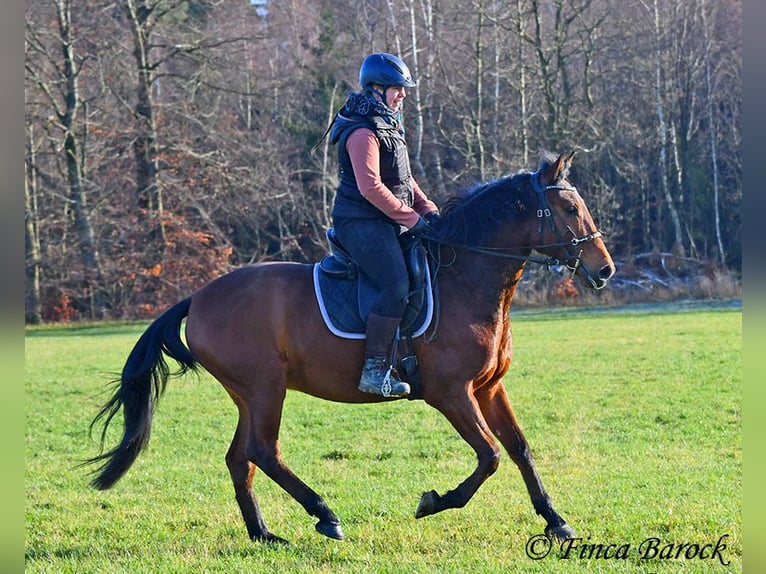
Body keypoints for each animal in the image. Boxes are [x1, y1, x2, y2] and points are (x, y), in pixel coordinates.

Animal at [85, 151, 616, 548]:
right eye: (570, 210)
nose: (605, 269)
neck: (465, 278)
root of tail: (199, 297)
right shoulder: (450, 393)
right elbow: (489, 456)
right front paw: (433, 502)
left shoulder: (487, 389)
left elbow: (519, 448)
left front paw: (556, 520)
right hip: (265, 388)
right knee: (263, 450)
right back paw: (325, 515)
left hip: (249, 393)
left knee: (241, 457)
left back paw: (264, 534)